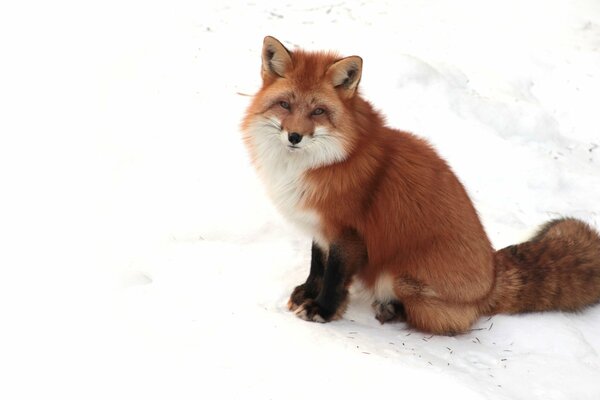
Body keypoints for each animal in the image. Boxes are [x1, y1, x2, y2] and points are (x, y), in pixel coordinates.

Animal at [240, 36, 600, 334]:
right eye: (285, 105)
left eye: (318, 111)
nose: (294, 136)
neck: (326, 161)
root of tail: (493, 276)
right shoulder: (320, 227)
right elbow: (317, 266)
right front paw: (306, 293)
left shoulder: (348, 233)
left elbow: (334, 278)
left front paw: (323, 310)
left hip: (401, 277)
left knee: (446, 322)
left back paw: (392, 310)